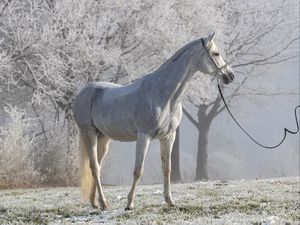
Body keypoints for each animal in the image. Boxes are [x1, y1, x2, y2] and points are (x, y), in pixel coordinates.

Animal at [72, 32, 234, 210]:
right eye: (216, 53)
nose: (230, 76)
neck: (163, 93)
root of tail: (83, 93)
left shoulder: (168, 137)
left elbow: (167, 169)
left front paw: (170, 201)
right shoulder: (144, 136)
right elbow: (138, 170)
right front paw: (130, 204)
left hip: (103, 138)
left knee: (98, 166)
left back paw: (96, 202)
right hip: (89, 134)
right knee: (94, 167)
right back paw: (103, 202)